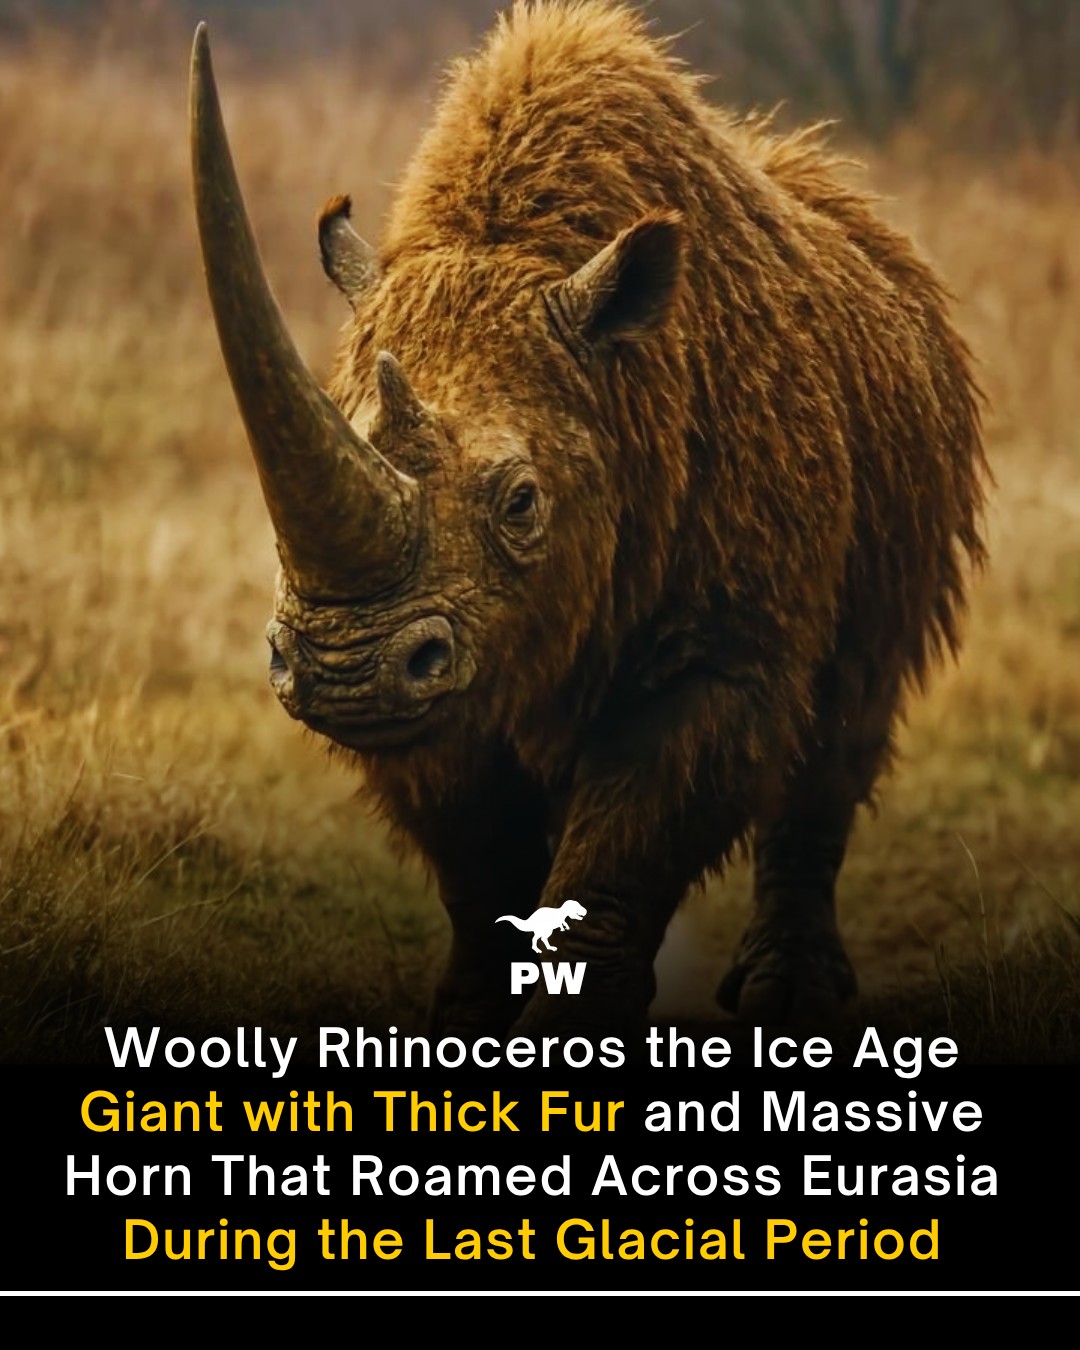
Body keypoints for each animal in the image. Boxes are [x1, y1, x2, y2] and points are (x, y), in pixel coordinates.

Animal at [189, 1, 986, 1036]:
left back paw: (788, 999)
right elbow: (476, 858)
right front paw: (470, 1018)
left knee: (850, 708)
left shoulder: (719, 647)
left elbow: (631, 833)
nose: (343, 673)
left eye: (522, 502)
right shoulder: (443, 675)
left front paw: (577, 1033)